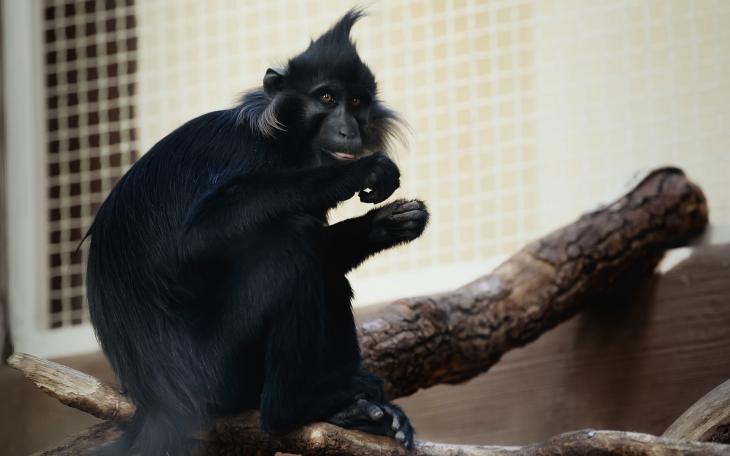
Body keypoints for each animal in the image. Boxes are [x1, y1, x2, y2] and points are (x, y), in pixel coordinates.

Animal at [86, 9, 427, 455]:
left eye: (356, 103)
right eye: (327, 99)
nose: (348, 131)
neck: (285, 145)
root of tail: (158, 401)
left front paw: (389, 224)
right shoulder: (243, 152)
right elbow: (193, 242)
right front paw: (361, 171)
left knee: (321, 264)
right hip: (216, 373)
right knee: (291, 245)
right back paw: (296, 407)